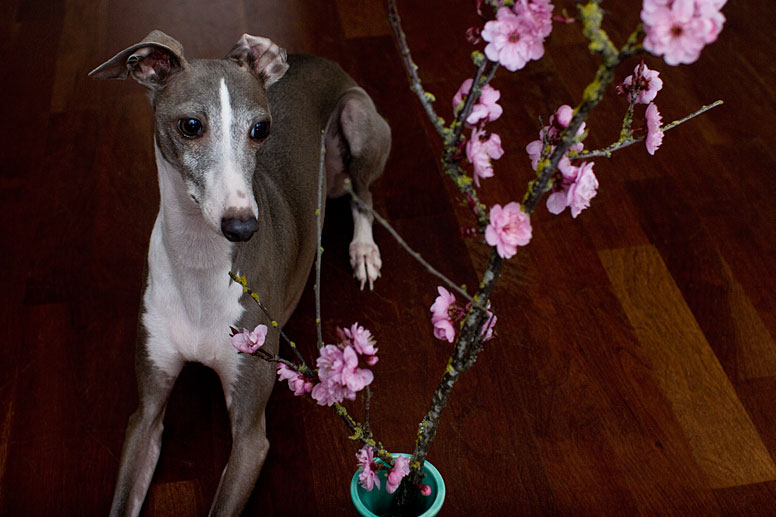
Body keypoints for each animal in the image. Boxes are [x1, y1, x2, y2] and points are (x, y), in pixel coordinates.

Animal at [91, 32, 392, 516]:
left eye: (261, 129)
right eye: (190, 125)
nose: (243, 226)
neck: (199, 263)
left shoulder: (252, 438)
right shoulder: (145, 415)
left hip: (357, 117)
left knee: (362, 193)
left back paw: (363, 249)